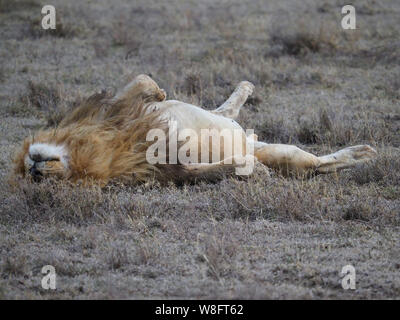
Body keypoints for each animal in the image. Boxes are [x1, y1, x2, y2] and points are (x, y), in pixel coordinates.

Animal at [11, 74, 376, 186]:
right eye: (34, 180)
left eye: (30, 172)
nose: (36, 170)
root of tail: (252, 141)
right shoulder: (169, 170)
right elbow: (215, 169)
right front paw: (255, 172)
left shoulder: (115, 111)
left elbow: (140, 82)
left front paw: (158, 92)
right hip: (286, 156)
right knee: (322, 164)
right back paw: (364, 154)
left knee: (223, 111)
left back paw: (244, 88)